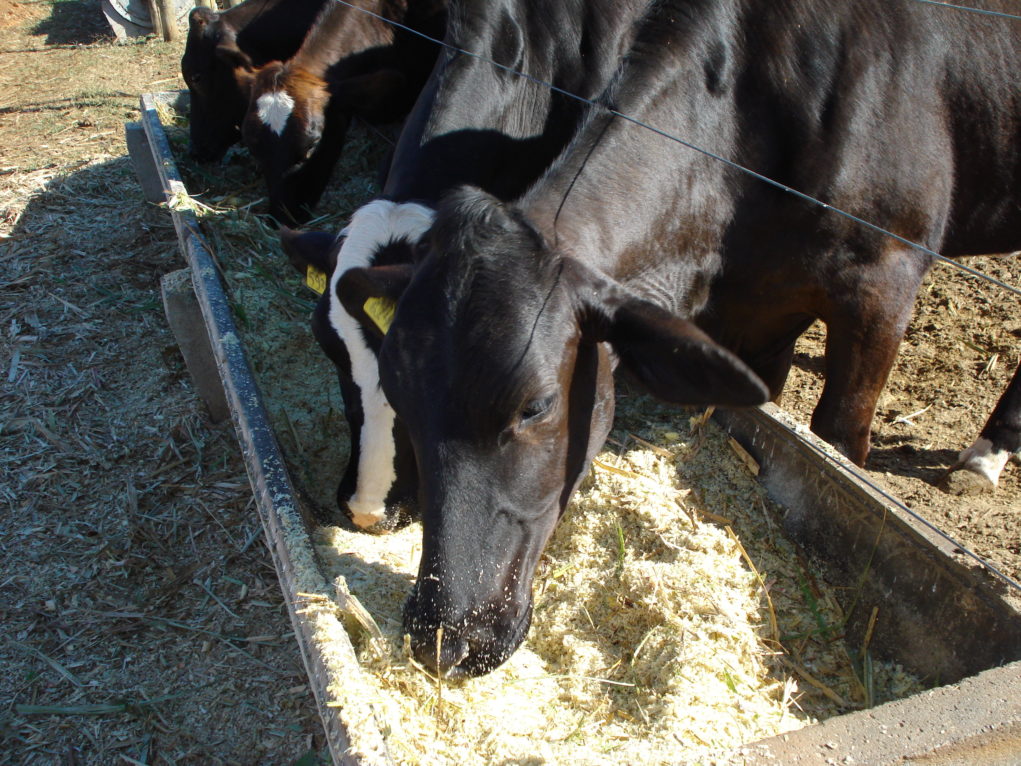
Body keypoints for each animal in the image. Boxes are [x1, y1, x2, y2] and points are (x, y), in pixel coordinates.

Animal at [335, 0, 1020, 677]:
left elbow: (838, 440)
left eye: (536, 406)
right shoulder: (754, 312)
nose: (443, 637)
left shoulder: (885, 281)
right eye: (402, 395)